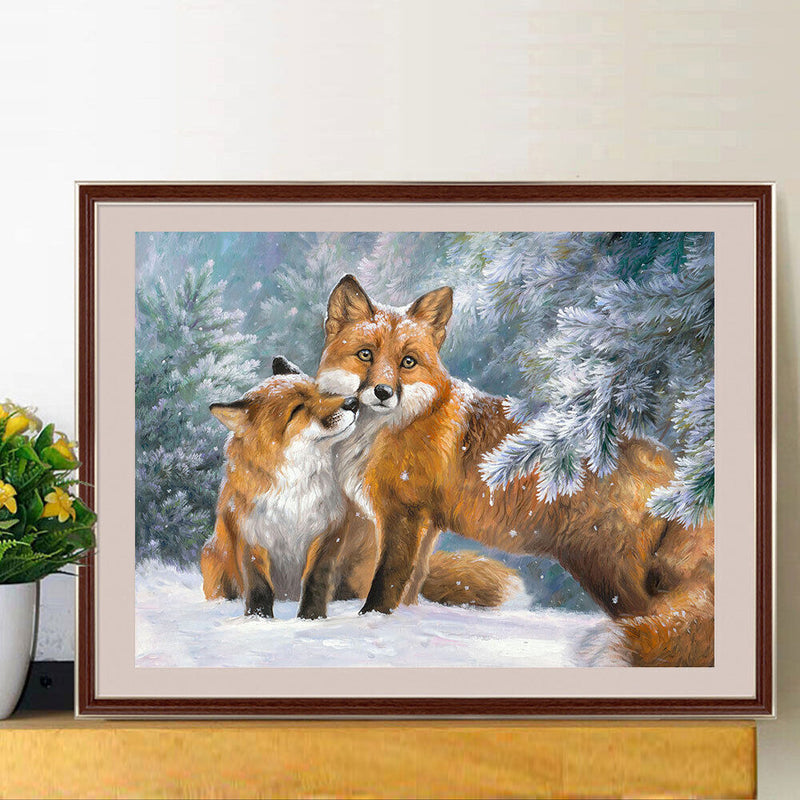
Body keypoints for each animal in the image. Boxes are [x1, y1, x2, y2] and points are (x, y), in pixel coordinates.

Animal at [201, 357, 521, 619]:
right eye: (298, 410)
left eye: (322, 393)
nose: (352, 404)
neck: (295, 492)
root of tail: (287, 596)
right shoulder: (249, 533)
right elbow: (259, 586)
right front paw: (258, 619)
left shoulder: (330, 532)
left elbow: (316, 580)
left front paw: (311, 619)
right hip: (214, 560)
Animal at [316, 275, 715, 667]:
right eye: (365, 354)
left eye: (408, 362)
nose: (383, 392)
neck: (384, 429)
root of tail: (677, 471)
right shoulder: (426, 525)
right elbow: (411, 588)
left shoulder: (403, 515)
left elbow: (384, 586)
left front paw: (370, 624)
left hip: (608, 570)